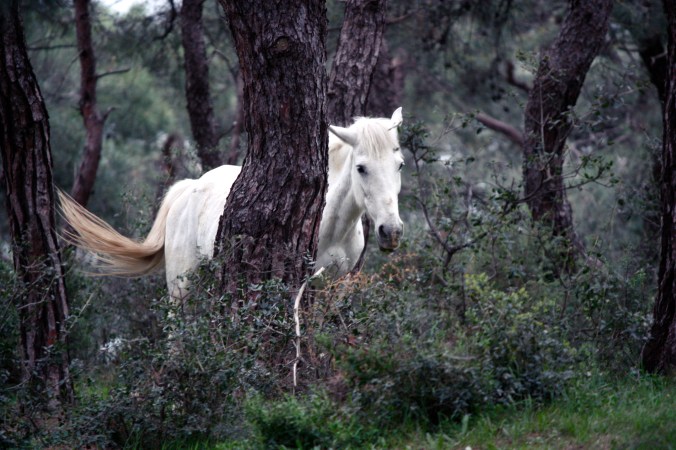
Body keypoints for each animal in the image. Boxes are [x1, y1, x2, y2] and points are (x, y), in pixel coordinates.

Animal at [59, 108, 405, 299]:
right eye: (361, 168)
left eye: (400, 165)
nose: (391, 231)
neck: (331, 227)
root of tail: (189, 188)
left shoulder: (334, 285)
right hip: (181, 285)